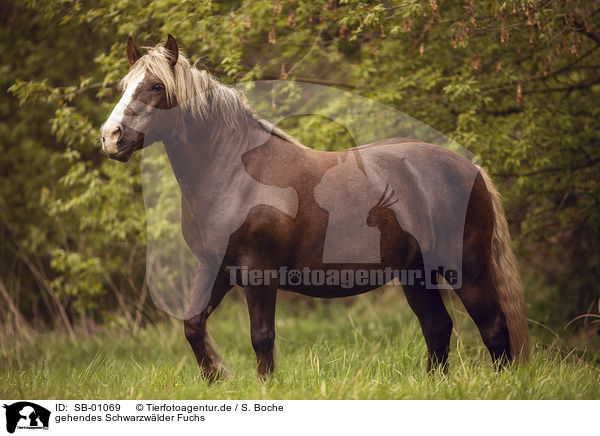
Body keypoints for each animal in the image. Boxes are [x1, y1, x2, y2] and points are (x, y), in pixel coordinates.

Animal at [101, 35, 528, 380]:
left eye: (156, 86)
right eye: (125, 86)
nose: (111, 137)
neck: (235, 173)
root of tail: (471, 168)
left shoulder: (259, 271)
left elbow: (261, 337)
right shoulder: (215, 267)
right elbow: (192, 325)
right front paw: (216, 378)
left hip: (465, 269)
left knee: (493, 327)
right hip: (415, 274)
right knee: (438, 329)